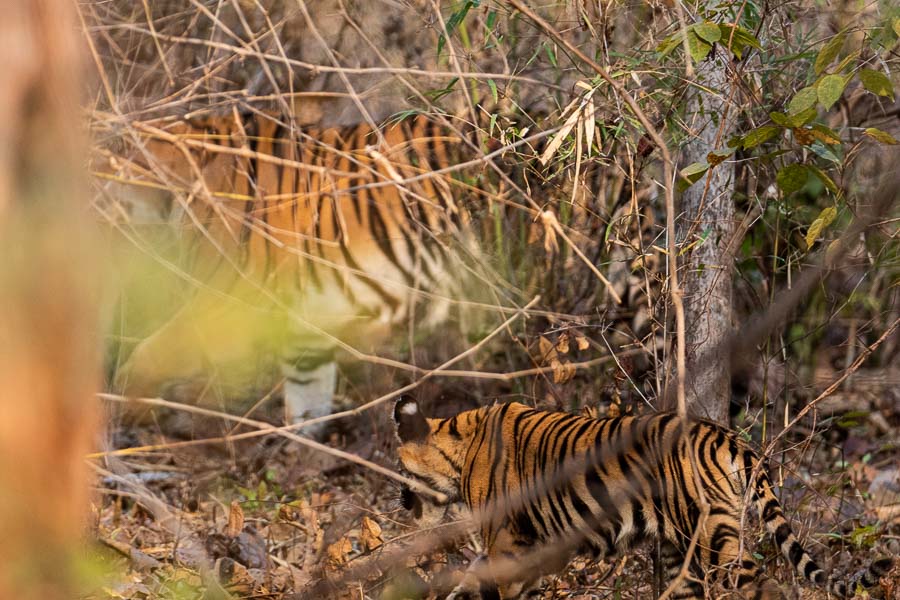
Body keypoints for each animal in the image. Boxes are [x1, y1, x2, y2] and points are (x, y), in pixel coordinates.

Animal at [394, 396, 892, 596]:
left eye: (399, 470)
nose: (400, 506)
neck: (459, 447)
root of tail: (731, 437)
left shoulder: (506, 543)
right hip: (679, 548)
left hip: (712, 534)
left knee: (758, 579)